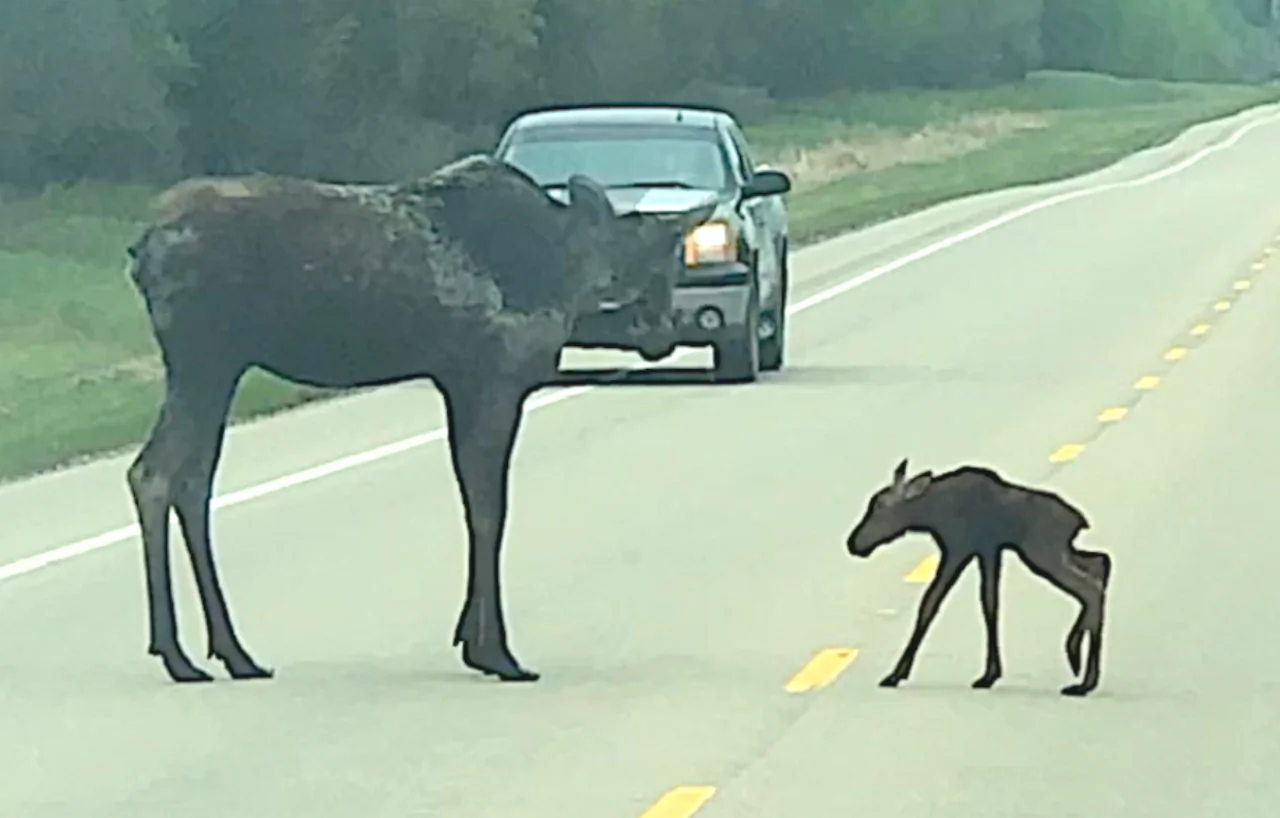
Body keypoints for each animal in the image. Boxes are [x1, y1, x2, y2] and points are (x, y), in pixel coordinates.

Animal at [122, 153, 715, 685]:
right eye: (669, 262)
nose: (663, 333)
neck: (572, 273)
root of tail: (141, 251)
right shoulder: (495, 377)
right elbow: (491, 509)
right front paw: (499, 653)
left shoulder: (457, 383)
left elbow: (473, 502)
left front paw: (471, 642)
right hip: (205, 359)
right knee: (155, 474)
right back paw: (180, 655)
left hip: (217, 367)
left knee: (190, 481)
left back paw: (230, 653)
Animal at [845, 458, 1112, 696]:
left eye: (880, 508)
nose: (853, 543)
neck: (930, 514)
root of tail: (1080, 521)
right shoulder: (988, 549)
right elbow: (990, 603)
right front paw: (990, 673)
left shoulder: (958, 548)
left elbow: (931, 603)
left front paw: (895, 674)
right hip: (1058, 550)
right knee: (1101, 563)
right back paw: (1081, 665)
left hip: (1042, 552)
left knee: (1091, 588)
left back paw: (1082, 677)